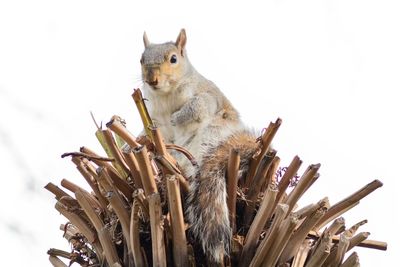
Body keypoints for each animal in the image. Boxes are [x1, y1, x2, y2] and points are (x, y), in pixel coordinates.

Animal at [141, 29, 260, 266]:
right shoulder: (154, 117)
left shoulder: (206, 96)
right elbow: (150, 130)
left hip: (210, 136)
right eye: (141, 60)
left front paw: (178, 117)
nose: (152, 79)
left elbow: (198, 106)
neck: (165, 95)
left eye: (173, 59)